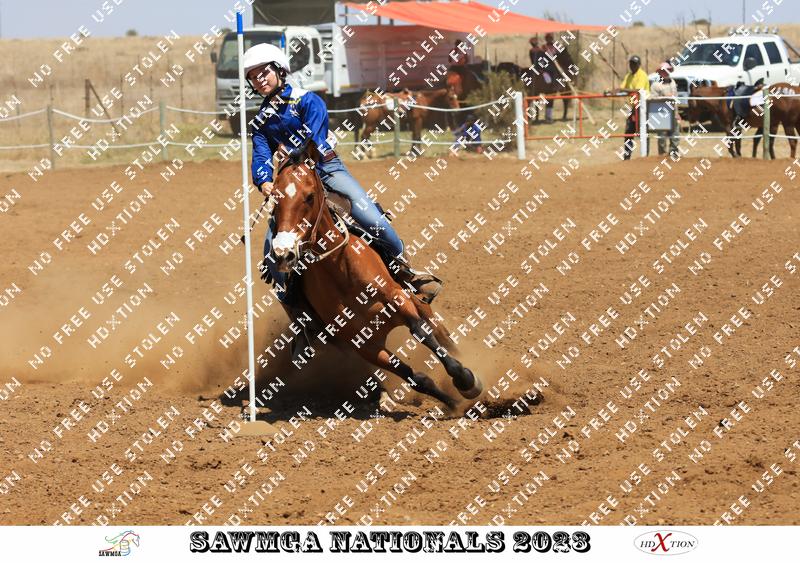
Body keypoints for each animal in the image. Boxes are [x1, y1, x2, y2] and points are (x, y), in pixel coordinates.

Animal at [265, 140, 482, 409]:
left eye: (309, 196)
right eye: (274, 198)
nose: (283, 254)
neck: (341, 272)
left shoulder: (398, 299)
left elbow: (421, 332)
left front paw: (467, 380)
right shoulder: (365, 346)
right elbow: (417, 379)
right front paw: (453, 402)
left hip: (416, 299)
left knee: (441, 333)